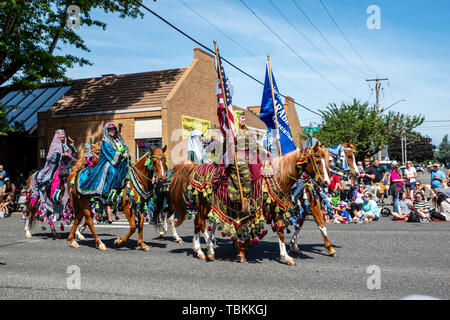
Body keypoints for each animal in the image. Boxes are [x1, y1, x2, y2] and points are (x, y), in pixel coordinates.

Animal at [169, 142, 330, 264]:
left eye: (326, 161)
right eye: (317, 161)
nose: (326, 183)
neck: (278, 177)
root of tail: (195, 167)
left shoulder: (276, 209)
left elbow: (280, 231)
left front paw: (286, 256)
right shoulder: (256, 210)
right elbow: (252, 233)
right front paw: (241, 252)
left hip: (206, 204)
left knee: (197, 222)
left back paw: (199, 250)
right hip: (204, 203)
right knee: (202, 223)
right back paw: (209, 249)